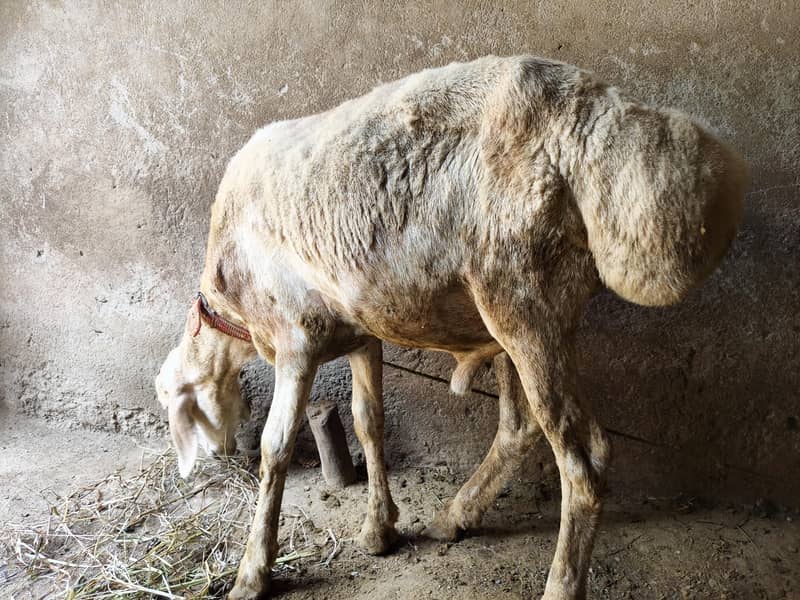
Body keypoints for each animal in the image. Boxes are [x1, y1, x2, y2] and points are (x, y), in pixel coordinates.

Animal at [154, 55, 748, 600]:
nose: (217, 456)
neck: (230, 303)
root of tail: (594, 119)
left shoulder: (294, 336)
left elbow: (276, 448)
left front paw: (252, 571)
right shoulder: (363, 335)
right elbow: (369, 421)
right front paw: (379, 529)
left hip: (522, 297)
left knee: (584, 462)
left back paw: (559, 582)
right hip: (524, 312)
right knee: (522, 426)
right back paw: (455, 516)